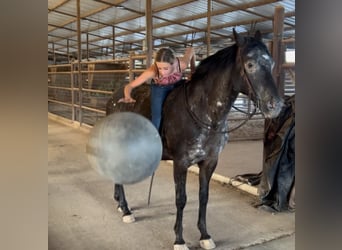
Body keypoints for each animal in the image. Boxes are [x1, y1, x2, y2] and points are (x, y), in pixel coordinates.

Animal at [105, 29, 284, 250]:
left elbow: (203, 197)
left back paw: (121, 205)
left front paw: (205, 235)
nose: (276, 105)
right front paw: (179, 240)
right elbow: (181, 199)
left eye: (272, 63)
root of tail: (114, 98)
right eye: (250, 64)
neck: (203, 114)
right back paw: (126, 210)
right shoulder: (180, 163)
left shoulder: (209, 162)